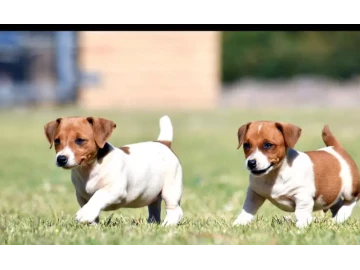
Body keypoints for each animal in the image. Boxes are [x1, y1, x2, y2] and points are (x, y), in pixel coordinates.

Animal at [43, 115, 183, 227]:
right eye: (57, 141)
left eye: (80, 140)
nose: (61, 159)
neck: (89, 169)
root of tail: (163, 143)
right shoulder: (81, 196)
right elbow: (91, 206)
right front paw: (92, 225)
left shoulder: (115, 189)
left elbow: (98, 196)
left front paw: (85, 214)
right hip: (153, 192)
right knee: (154, 208)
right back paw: (152, 224)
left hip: (171, 189)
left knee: (175, 209)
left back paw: (168, 224)